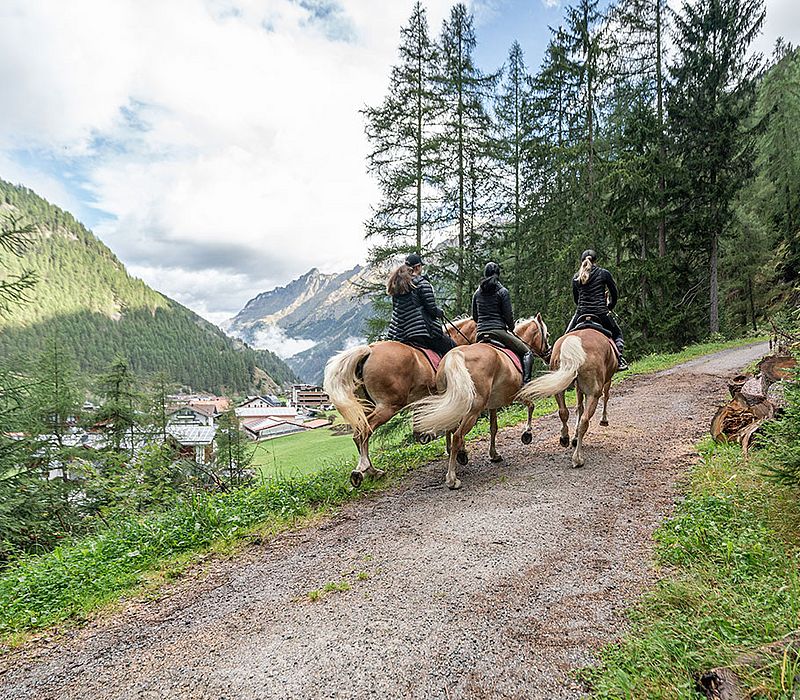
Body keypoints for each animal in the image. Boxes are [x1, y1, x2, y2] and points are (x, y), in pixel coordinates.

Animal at [324, 318, 476, 486]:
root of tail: (369, 351)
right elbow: (453, 423)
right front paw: (460, 452)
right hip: (388, 406)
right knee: (363, 431)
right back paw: (363, 469)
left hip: (367, 406)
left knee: (360, 432)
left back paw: (372, 472)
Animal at [412, 314, 552, 490]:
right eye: (547, 335)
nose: (549, 354)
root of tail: (455, 355)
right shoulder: (516, 394)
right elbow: (531, 406)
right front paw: (527, 434)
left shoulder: (493, 405)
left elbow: (493, 428)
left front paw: (494, 454)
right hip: (473, 409)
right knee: (457, 436)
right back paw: (452, 478)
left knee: (451, 430)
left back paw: (458, 459)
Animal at [520, 330, 620, 470]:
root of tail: (575, 339)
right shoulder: (606, 381)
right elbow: (605, 396)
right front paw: (604, 420)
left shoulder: (577, 387)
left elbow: (578, 408)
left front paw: (573, 437)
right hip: (593, 394)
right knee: (584, 420)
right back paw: (577, 458)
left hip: (559, 387)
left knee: (563, 412)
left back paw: (565, 438)